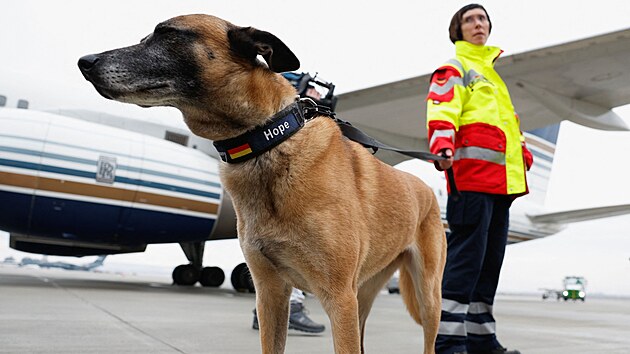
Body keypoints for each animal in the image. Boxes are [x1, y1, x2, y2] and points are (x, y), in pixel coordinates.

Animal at [79, 14, 446, 354]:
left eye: (167, 34)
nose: (85, 61)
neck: (266, 141)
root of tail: (427, 190)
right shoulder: (271, 294)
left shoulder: (338, 298)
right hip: (365, 294)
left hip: (427, 297)